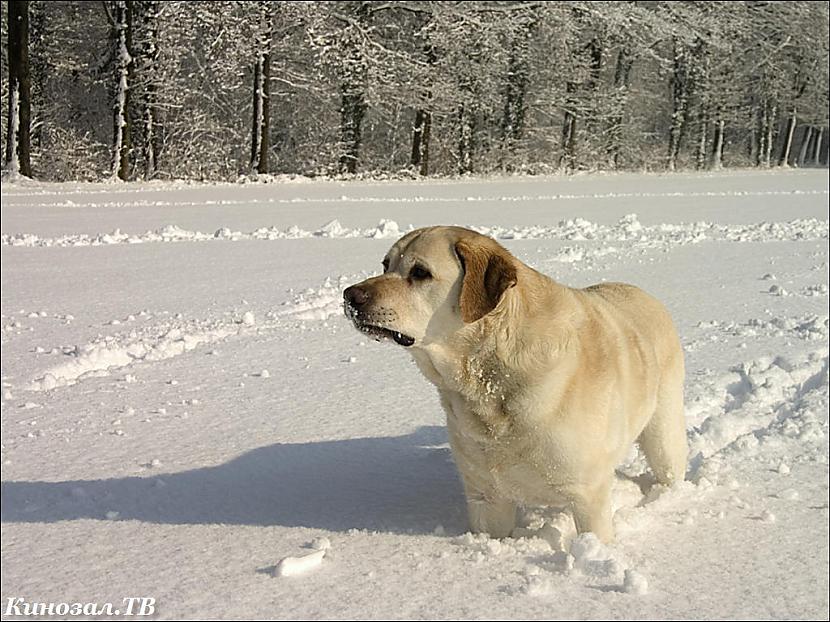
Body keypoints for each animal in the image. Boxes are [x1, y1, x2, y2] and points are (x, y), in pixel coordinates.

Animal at [344, 225, 688, 540]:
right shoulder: (485, 497)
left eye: (419, 272)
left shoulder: (587, 495)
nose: (350, 295)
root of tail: (644, 293)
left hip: (664, 437)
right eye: (386, 264)